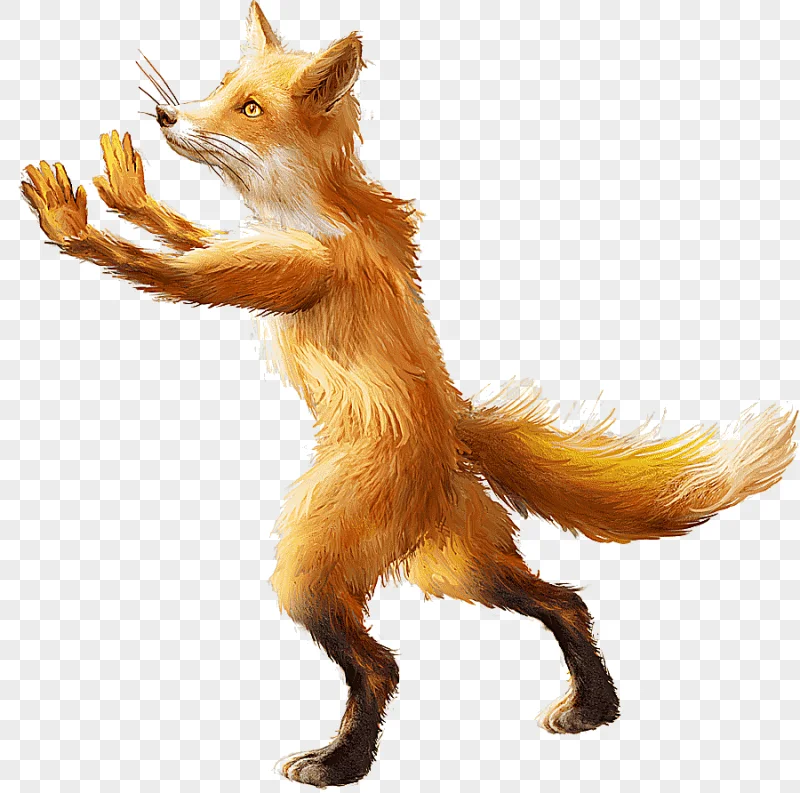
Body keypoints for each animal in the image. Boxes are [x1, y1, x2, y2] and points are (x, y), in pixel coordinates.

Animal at [21, 2, 797, 787]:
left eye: (249, 108)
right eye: (221, 83)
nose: (166, 114)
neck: (304, 210)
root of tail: (453, 430)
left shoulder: (289, 272)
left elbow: (176, 270)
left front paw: (74, 224)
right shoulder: (250, 247)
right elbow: (189, 236)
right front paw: (130, 194)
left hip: (310, 566)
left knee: (382, 664)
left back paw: (342, 761)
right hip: (461, 567)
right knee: (564, 601)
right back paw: (593, 709)